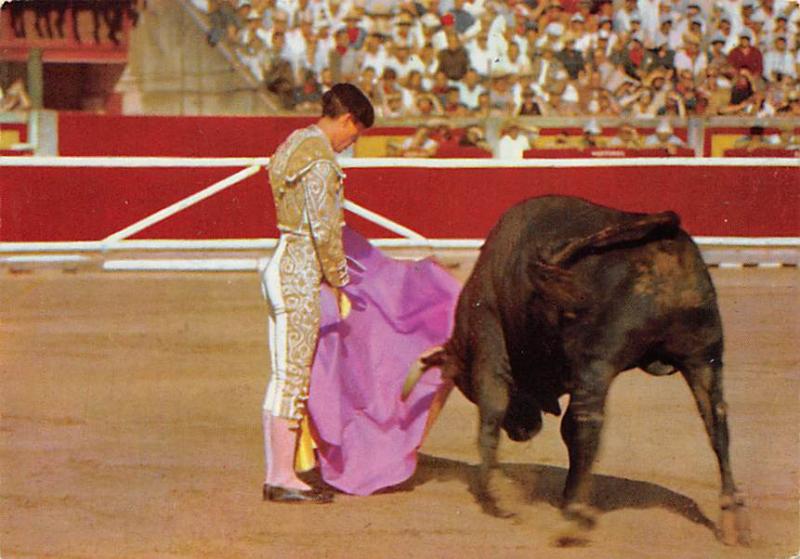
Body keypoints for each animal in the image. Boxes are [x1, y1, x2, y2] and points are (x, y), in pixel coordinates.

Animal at [406, 196, 752, 548]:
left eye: (468, 389)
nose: (522, 432)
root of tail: (662, 233)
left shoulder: (489, 349)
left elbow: (492, 418)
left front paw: (496, 498)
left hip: (598, 361)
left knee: (588, 425)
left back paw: (573, 520)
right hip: (703, 357)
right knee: (717, 424)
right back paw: (732, 520)